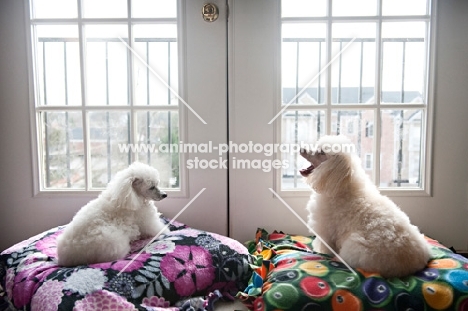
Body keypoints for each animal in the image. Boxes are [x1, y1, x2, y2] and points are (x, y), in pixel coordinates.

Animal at [300, 135, 432, 280]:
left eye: (322, 152)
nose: (301, 148)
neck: (341, 186)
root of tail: (411, 266)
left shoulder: (326, 231)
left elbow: (324, 246)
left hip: (354, 248)